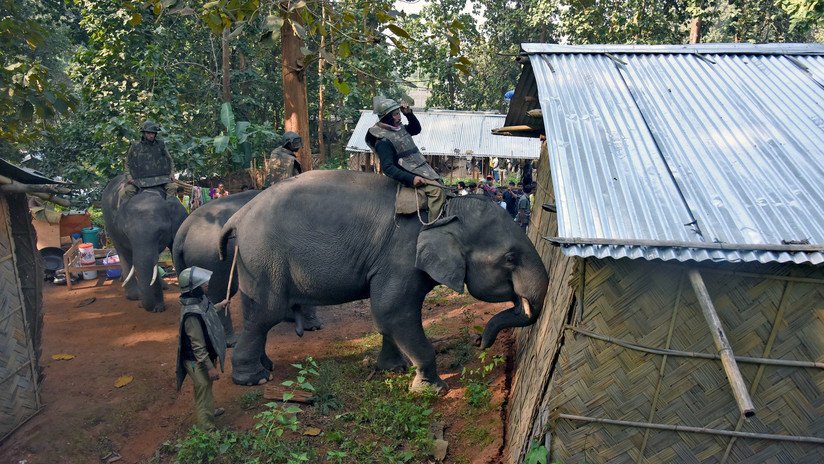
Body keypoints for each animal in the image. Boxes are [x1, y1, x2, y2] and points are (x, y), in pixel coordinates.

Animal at [102, 174, 187, 312]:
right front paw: (157, 308)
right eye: (127, 234)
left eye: (160, 233)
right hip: (109, 223)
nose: (142, 305)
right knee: (123, 252)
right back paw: (134, 295)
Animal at [222, 169, 552, 388]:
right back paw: (254, 379)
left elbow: (387, 318)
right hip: (264, 258)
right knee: (266, 313)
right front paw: (433, 388)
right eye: (510, 258)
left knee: (255, 313)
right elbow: (393, 312)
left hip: (255, 263)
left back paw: (265, 366)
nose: (479, 343)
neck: (447, 207)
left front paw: (393, 369)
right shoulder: (400, 256)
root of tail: (239, 215)